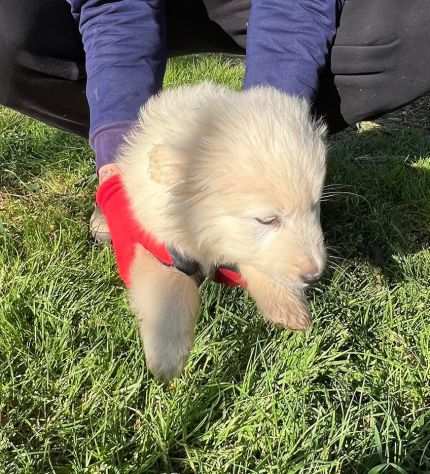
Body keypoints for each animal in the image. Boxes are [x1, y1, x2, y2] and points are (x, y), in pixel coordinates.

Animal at [116, 80, 326, 378]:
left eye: (314, 206)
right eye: (267, 220)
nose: (315, 274)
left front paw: (289, 308)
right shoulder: (160, 242)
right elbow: (168, 291)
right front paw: (166, 362)